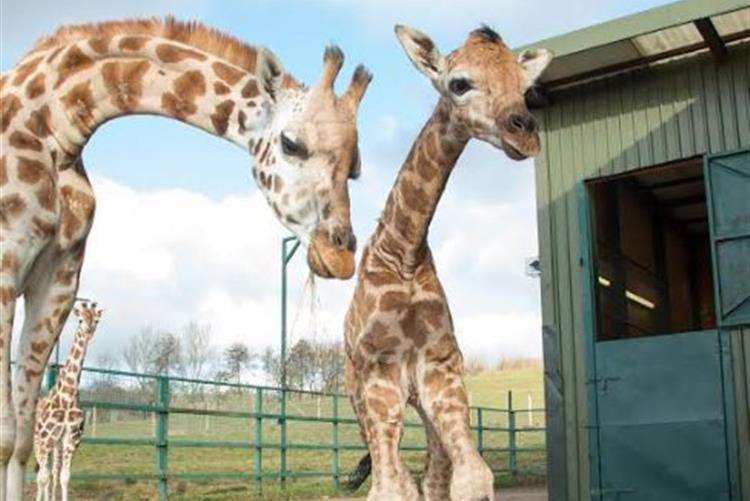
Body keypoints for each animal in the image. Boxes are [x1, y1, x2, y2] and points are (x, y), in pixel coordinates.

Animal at [33, 300, 103, 500]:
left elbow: (63, 477)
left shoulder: (71, 439)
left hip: (55, 445)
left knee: (52, 473)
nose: (88, 330)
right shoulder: (45, 439)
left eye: (96, 320)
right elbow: (43, 478)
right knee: (41, 475)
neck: (67, 396)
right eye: (80, 319)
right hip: (38, 441)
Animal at [346, 24, 552, 500]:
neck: (403, 254)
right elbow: (390, 486)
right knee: (394, 474)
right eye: (459, 84)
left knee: (432, 470)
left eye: (525, 87)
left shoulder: (442, 369)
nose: (525, 134)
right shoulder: (381, 377)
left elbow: (471, 475)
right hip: (358, 398)